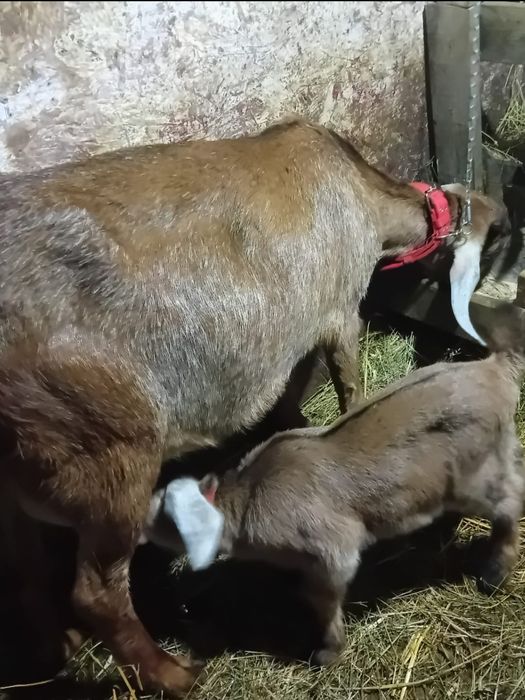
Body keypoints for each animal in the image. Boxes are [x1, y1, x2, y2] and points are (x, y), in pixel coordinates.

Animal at [145, 302, 525, 667]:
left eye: (171, 518)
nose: (139, 523)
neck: (248, 494)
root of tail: (496, 369)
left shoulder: (334, 549)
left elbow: (321, 597)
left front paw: (328, 652)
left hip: (471, 475)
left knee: (510, 501)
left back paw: (495, 573)